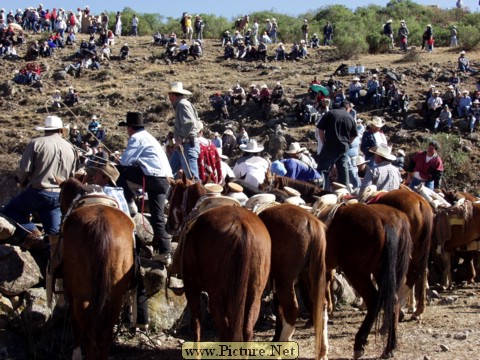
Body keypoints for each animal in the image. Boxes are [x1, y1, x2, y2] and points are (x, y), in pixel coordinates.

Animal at [60, 178, 135, 360]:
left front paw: (76, 352)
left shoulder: (69, 291)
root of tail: (101, 225)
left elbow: (74, 323)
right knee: (105, 333)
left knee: (88, 331)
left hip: (82, 296)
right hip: (115, 296)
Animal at [166, 179, 270, 342]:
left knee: (225, 330)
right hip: (254, 295)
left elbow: (196, 323)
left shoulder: (191, 286)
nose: (168, 225)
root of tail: (242, 227)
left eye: (173, 195)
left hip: (217, 297)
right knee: (246, 330)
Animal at [316, 204, 412, 358]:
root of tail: (384, 219)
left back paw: (359, 343)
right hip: (380, 271)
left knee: (373, 300)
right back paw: (389, 348)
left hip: (357, 272)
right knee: (392, 300)